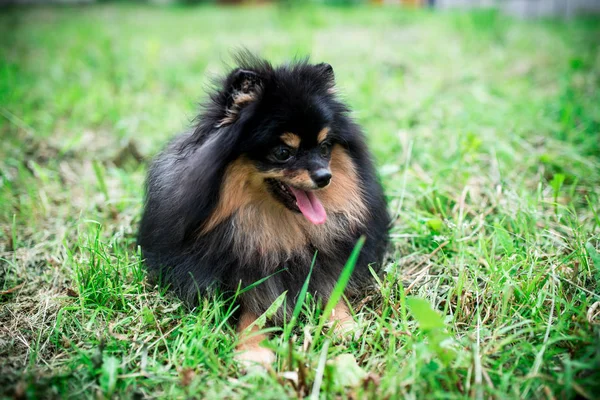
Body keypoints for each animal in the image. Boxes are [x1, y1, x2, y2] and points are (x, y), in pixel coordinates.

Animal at [137, 53, 390, 366]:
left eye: (325, 147)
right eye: (283, 153)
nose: (324, 177)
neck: (282, 228)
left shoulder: (326, 261)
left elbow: (333, 290)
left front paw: (344, 325)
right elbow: (254, 306)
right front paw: (253, 348)